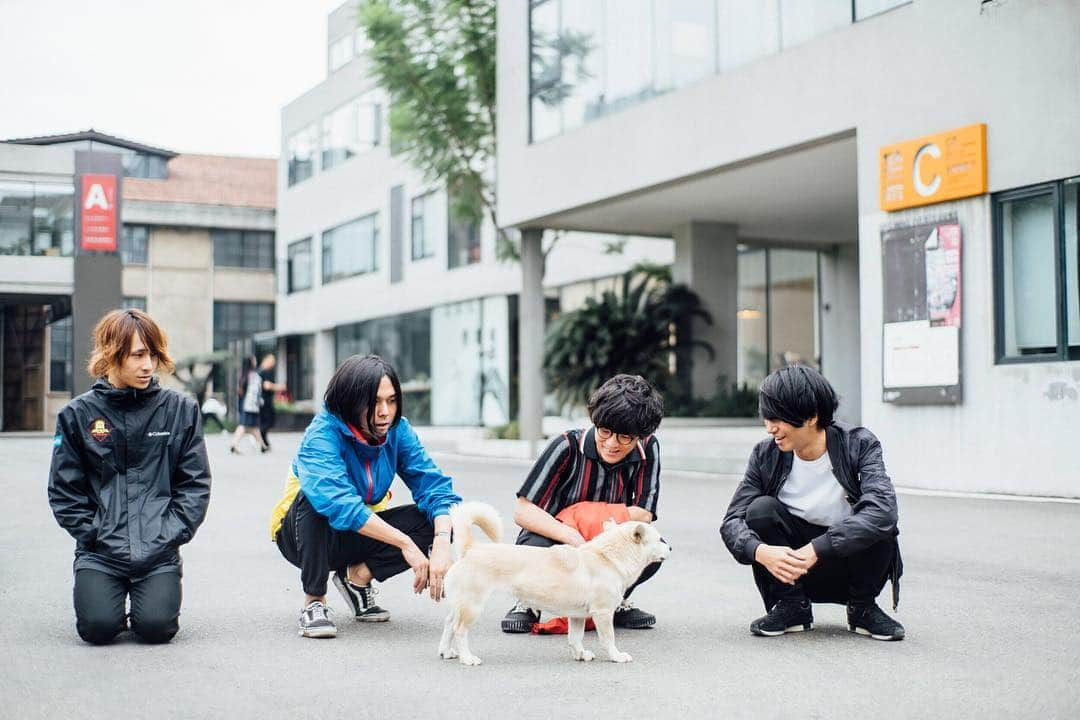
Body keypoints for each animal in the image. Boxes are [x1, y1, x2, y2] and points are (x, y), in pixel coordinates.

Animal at [436, 500, 669, 664]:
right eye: (660, 540)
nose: (671, 548)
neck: (607, 557)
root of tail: (471, 548)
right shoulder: (603, 613)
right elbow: (608, 639)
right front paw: (616, 656)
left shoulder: (577, 617)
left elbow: (575, 638)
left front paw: (580, 654)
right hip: (472, 607)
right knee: (459, 630)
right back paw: (467, 658)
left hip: (461, 605)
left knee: (448, 623)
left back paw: (446, 651)